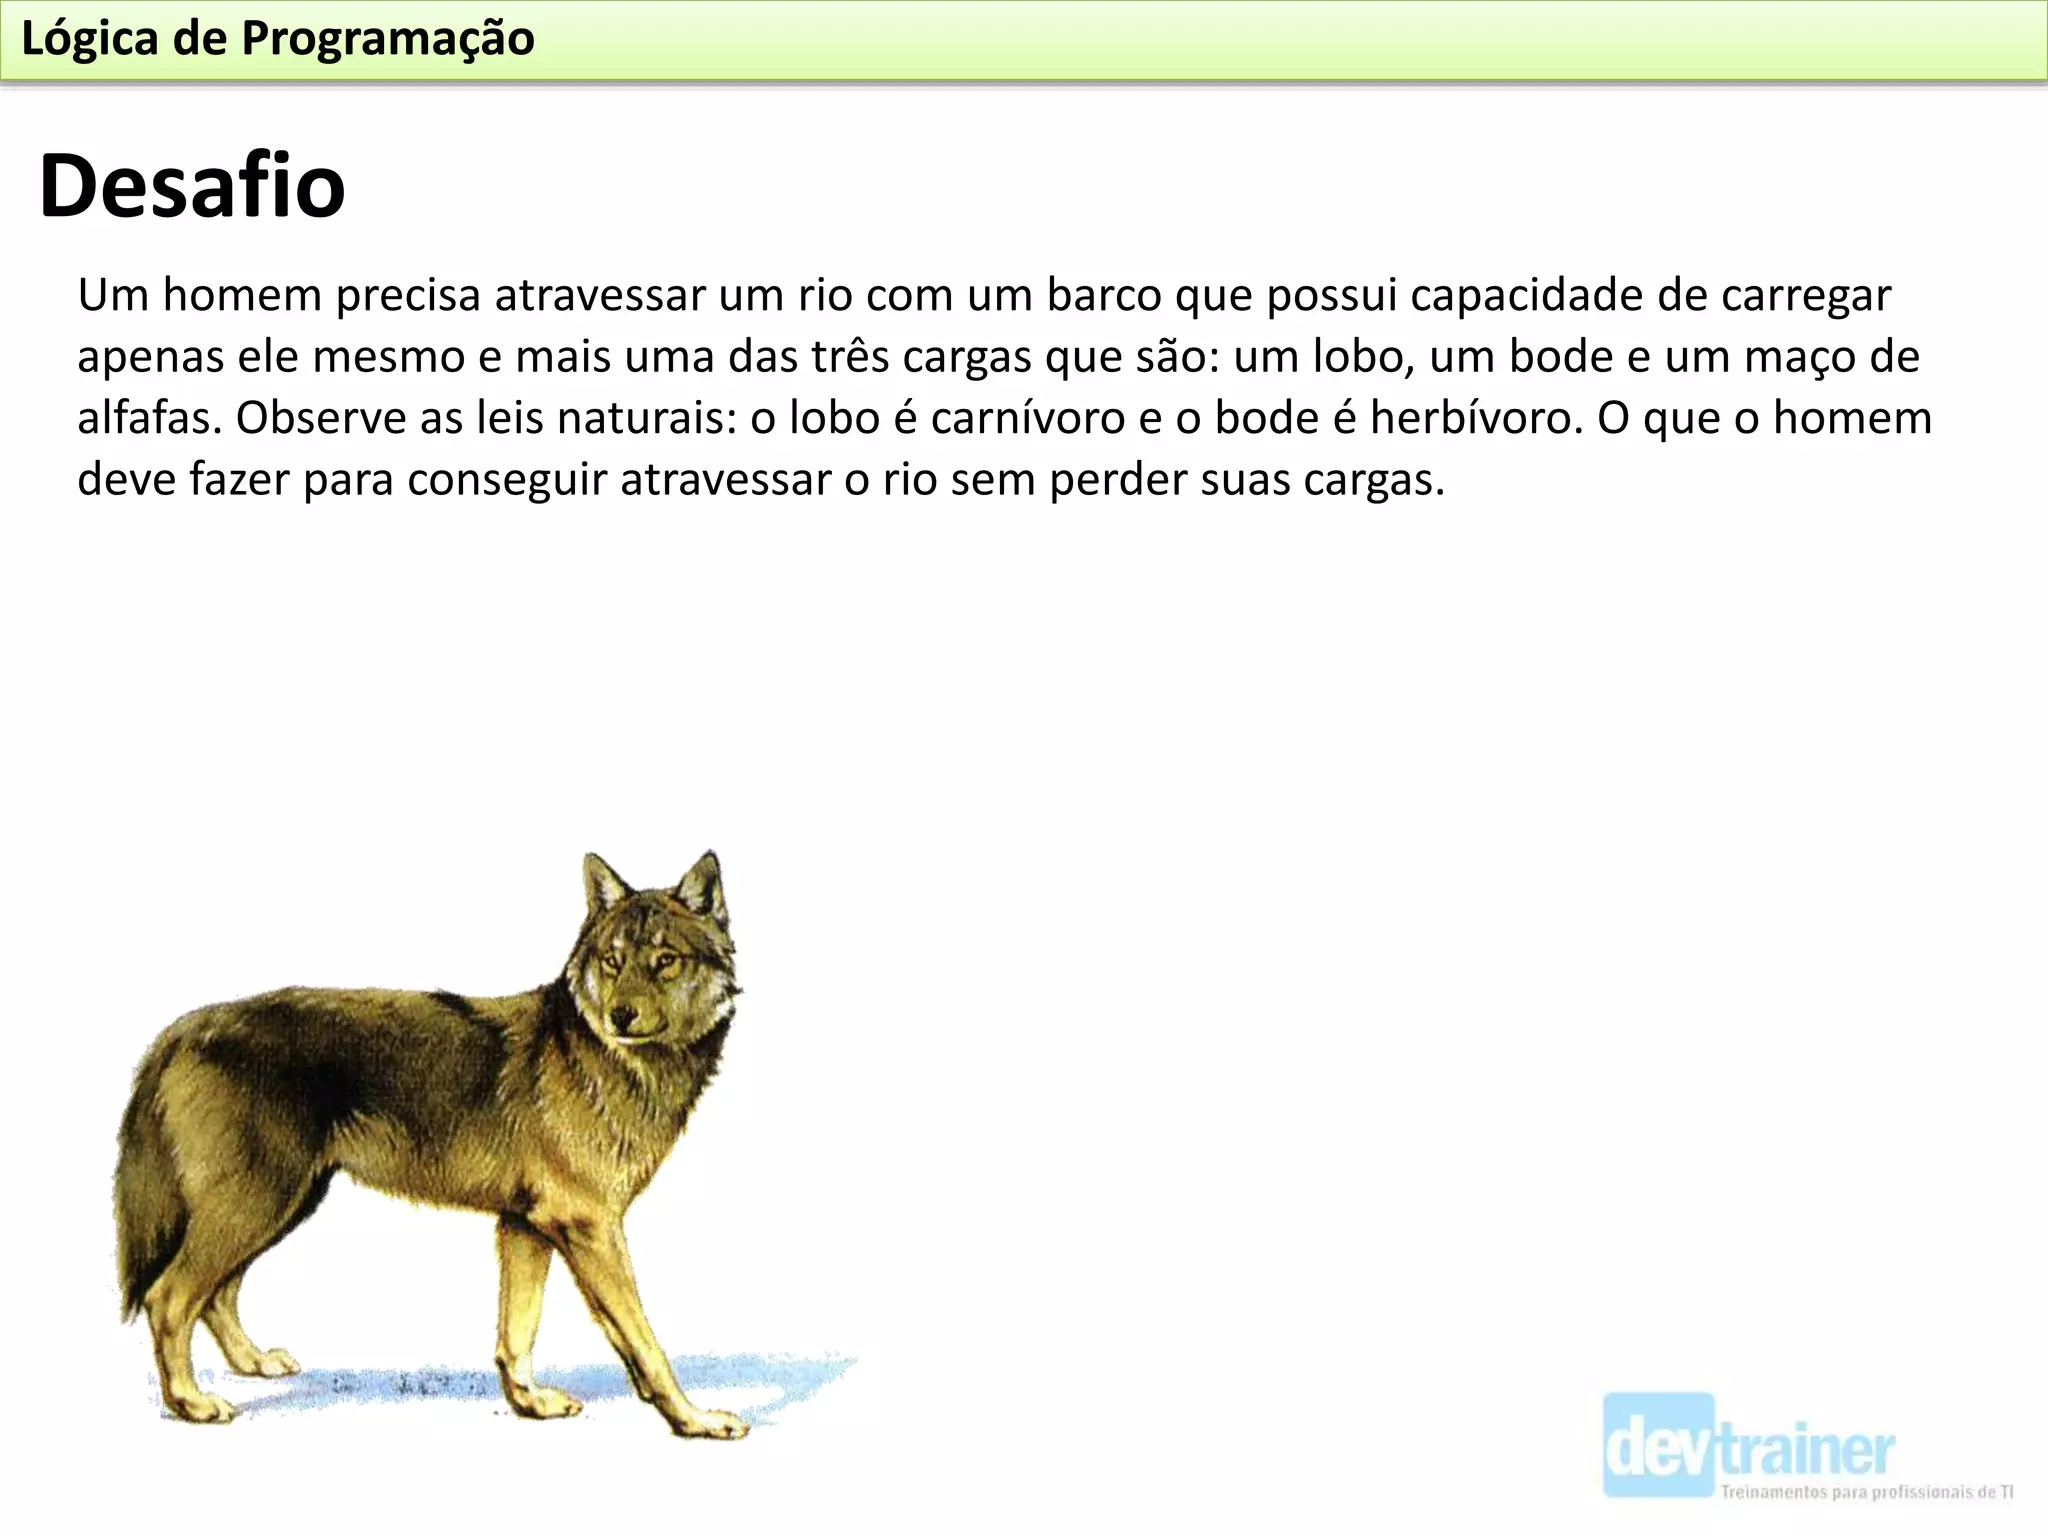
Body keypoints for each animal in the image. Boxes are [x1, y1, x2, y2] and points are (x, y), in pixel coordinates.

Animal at [114, 852, 748, 1437]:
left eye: (665, 961)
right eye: (612, 962)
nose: (620, 1015)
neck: (606, 1058)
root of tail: (182, 1030)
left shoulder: (525, 1227)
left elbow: (518, 1333)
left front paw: (529, 1403)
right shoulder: (587, 1227)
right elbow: (644, 1340)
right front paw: (693, 1418)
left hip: (281, 1204)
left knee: (217, 1294)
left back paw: (252, 1362)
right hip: (258, 1203)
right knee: (170, 1297)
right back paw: (190, 1402)